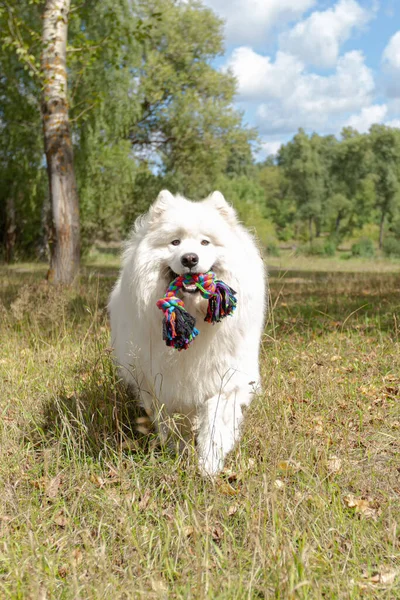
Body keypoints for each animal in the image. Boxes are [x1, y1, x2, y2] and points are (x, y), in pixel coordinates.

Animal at [108, 190, 268, 476]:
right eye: (175, 242)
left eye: (205, 242)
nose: (190, 258)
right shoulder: (161, 382)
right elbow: (172, 422)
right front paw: (180, 451)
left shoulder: (224, 376)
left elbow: (216, 421)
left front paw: (209, 464)